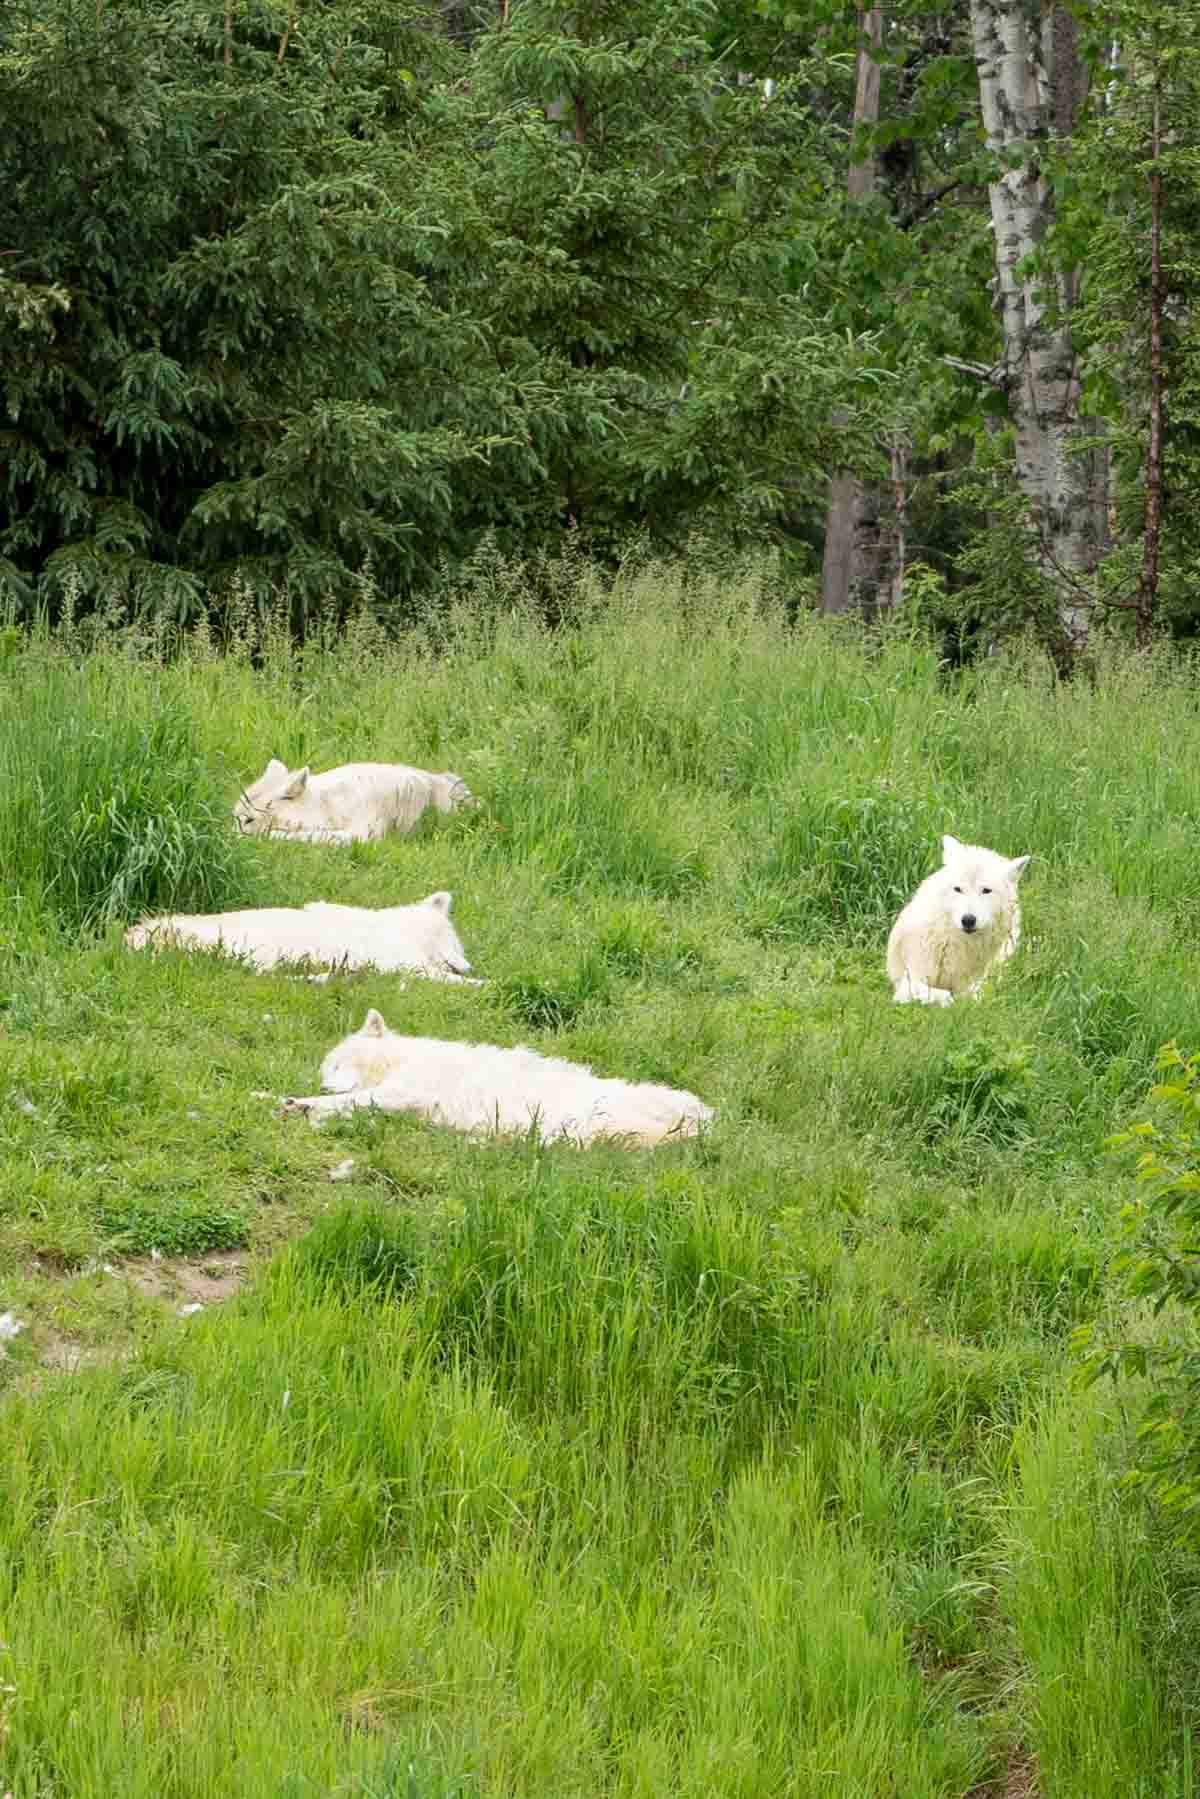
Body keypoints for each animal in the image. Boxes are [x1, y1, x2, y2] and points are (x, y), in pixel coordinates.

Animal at [279, 1008, 715, 1148]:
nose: (322, 1082)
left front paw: (306, 1105)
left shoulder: (405, 1092)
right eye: (326, 1068)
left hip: (583, 1124)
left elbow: (348, 1100)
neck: (404, 1058)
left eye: (339, 1063)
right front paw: (292, 1102)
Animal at [887, 834, 1031, 1006]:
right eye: (958, 889)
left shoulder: (975, 982)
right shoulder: (909, 981)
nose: (968, 920)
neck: (958, 943)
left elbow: (974, 994)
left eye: (986, 890)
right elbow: (943, 994)